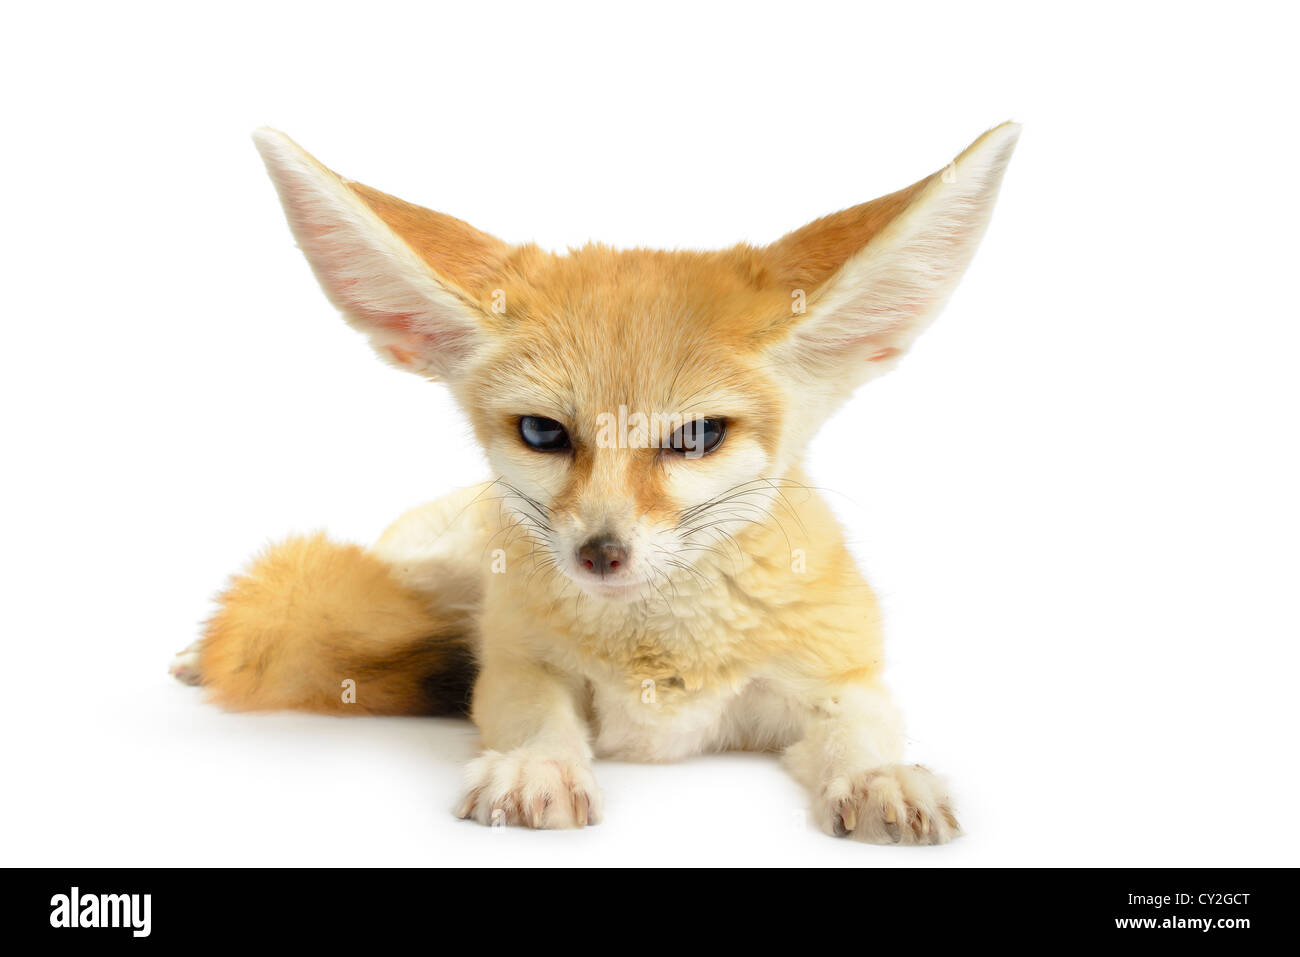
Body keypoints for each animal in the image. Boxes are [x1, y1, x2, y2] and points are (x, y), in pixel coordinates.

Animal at [172, 121, 1019, 842]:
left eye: (697, 436)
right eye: (544, 433)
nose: (601, 554)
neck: (657, 657)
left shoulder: (840, 672)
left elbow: (862, 729)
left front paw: (879, 777)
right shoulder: (514, 663)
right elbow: (535, 711)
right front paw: (539, 764)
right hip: (433, 575)